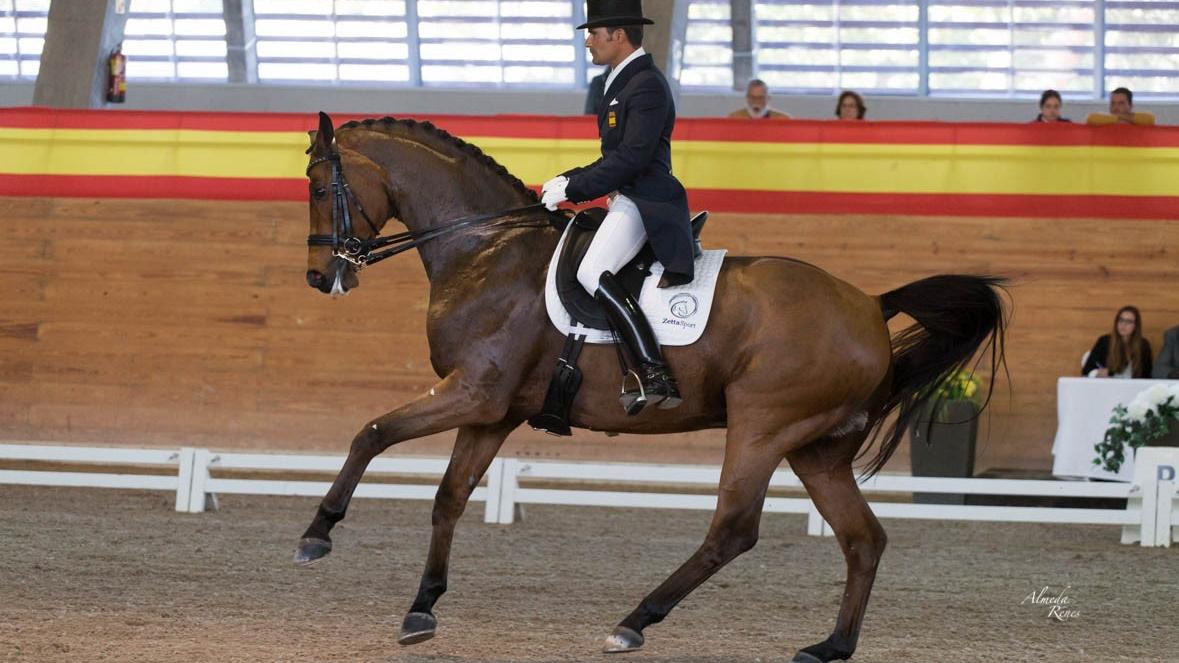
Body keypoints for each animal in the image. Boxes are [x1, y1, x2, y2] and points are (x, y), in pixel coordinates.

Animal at [294, 110, 1004, 655]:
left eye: (320, 187)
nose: (320, 277)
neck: (486, 248)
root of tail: (870, 306)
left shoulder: (475, 392)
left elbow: (371, 432)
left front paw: (317, 534)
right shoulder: (494, 411)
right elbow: (448, 497)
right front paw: (422, 608)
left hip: (762, 426)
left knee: (734, 531)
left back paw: (633, 623)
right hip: (816, 447)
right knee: (863, 540)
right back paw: (830, 647)